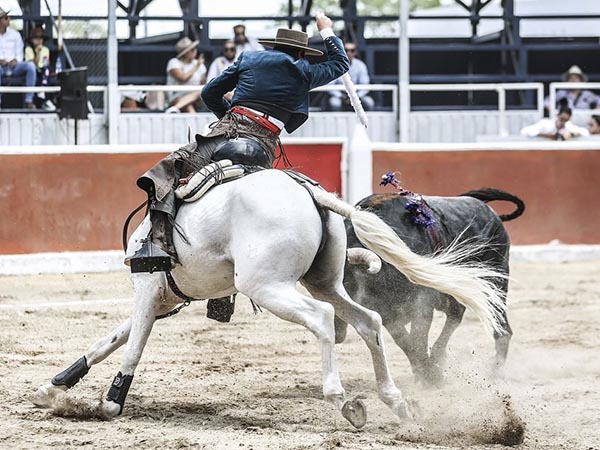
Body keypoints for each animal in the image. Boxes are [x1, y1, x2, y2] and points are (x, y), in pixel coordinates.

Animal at [342, 188, 524, 384]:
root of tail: (492, 213)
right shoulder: (387, 312)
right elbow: (406, 342)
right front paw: (426, 373)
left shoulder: (421, 305)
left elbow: (418, 339)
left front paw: (431, 377)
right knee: (456, 315)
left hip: (495, 283)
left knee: (500, 329)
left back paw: (493, 372)